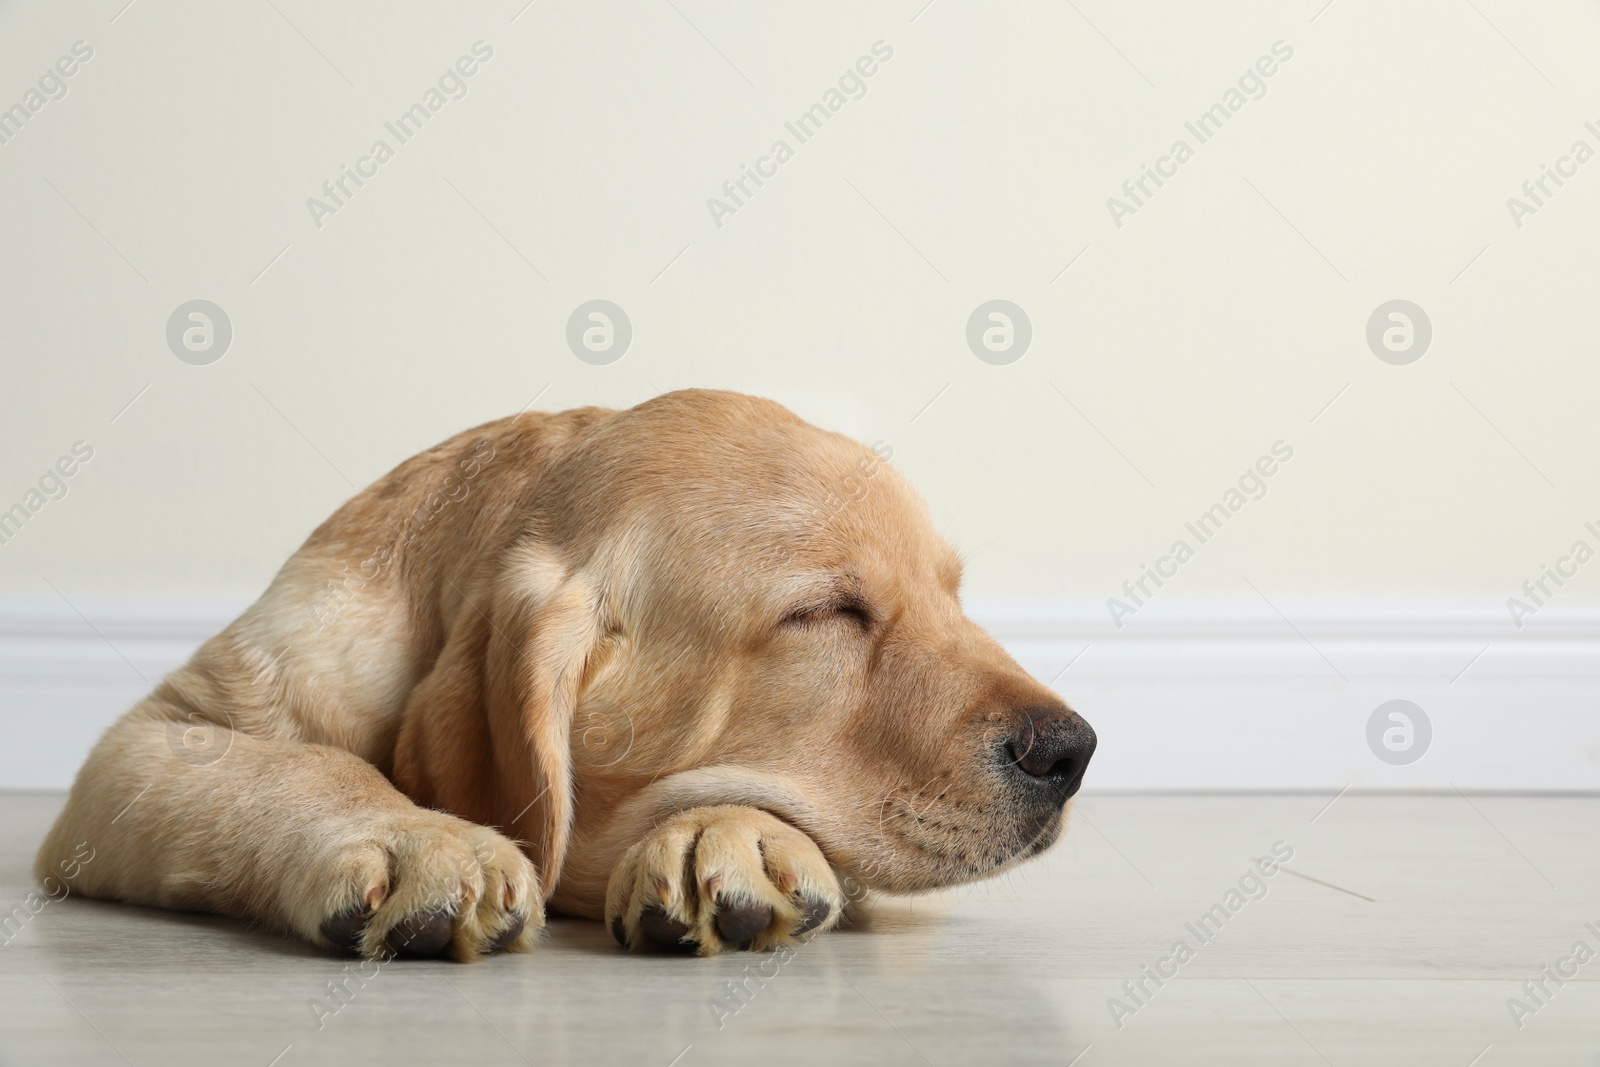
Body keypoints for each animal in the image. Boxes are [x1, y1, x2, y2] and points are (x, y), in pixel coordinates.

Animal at [37, 390, 1094, 959]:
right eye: (825, 612)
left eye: (952, 594)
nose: (1074, 751)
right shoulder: (155, 737)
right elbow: (300, 765)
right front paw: (420, 837)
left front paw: (723, 832)